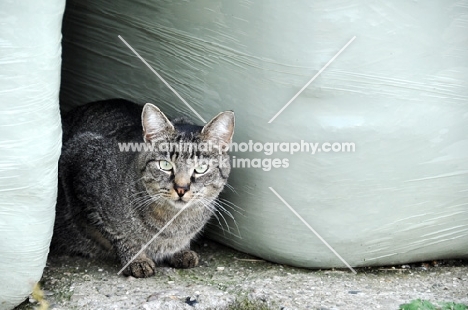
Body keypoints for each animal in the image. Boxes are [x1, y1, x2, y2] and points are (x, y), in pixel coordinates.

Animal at [52, 100, 234, 278]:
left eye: (201, 168)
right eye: (165, 165)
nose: (181, 188)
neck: (172, 223)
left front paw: (181, 251)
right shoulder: (79, 169)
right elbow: (119, 235)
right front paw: (136, 260)